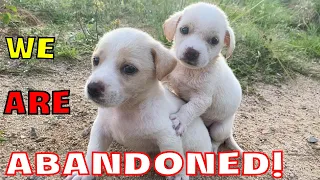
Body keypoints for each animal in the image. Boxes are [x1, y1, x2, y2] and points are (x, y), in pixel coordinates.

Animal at [67, 27, 212, 180]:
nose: (93, 88)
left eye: (129, 69)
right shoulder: (100, 130)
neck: (126, 109)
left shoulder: (168, 136)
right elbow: (92, 150)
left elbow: (174, 156)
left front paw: (178, 175)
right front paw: (84, 172)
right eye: (96, 60)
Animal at [164, 2, 244, 153]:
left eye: (214, 40)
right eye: (184, 29)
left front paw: (180, 120)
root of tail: (230, 130)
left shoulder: (202, 100)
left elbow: (189, 108)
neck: (189, 71)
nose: (191, 52)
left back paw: (213, 147)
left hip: (219, 129)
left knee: (218, 140)